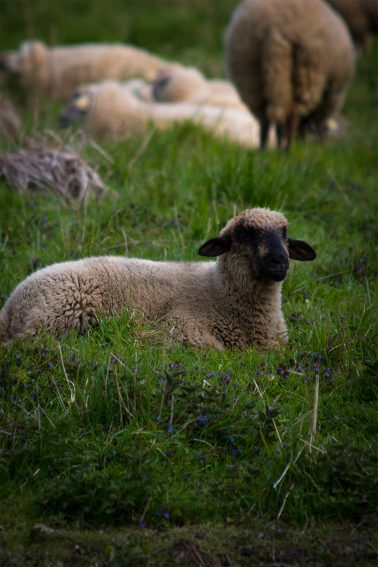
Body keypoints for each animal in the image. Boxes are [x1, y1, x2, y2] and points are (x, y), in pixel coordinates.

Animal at [0, 209, 316, 350]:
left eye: (284, 233)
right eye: (245, 233)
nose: (280, 260)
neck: (218, 292)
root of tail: (11, 305)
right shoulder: (183, 326)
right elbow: (212, 348)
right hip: (53, 317)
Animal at [226, 0, 356, 149]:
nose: (321, 143)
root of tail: (276, 31)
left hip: (250, 71)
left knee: (265, 117)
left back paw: (264, 148)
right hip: (308, 68)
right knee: (294, 114)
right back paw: (289, 149)